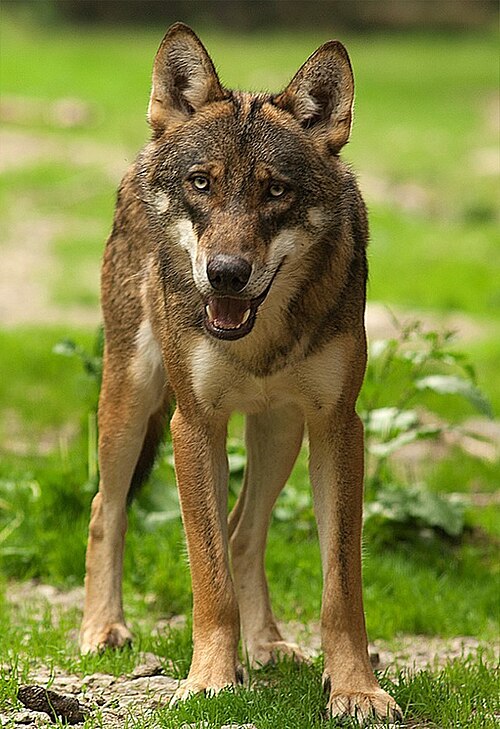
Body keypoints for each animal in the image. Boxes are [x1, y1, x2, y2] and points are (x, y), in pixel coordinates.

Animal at [79, 23, 402, 721]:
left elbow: (341, 587)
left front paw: (355, 688)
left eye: (275, 190)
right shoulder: (193, 425)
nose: (225, 274)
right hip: (129, 402)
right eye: (202, 183)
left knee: (243, 533)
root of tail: (144, 152)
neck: (259, 336)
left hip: (279, 432)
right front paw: (209, 680)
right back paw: (102, 629)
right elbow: (208, 577)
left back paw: (269, 645)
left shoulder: (339, 427)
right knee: (104, 508)